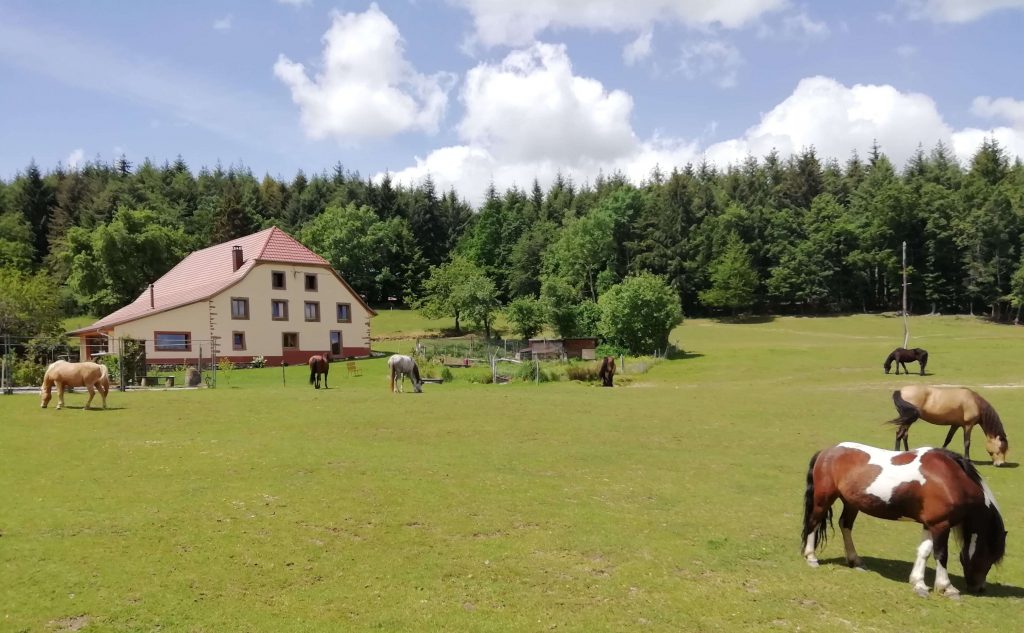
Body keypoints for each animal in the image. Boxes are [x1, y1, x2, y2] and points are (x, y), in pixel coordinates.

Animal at [798, 440, 1007, 594]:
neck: (951, 478)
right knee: (814, 523)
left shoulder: (930, 524)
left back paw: (855, 561)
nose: (979, 587)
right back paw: (811, 557)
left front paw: (918, 583)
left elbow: (924, 551)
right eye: (990, 556)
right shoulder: (941, 524)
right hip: (823, 499)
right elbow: (941, 554)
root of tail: (826, 452)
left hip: (851, 503)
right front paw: (946, 587)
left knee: (845, 525)